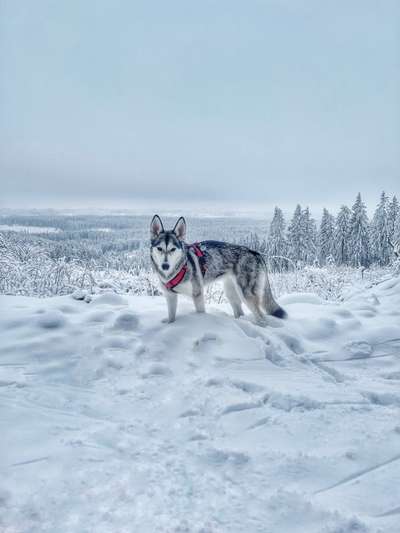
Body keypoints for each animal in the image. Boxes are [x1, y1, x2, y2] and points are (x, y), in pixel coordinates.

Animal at [149, 215, 284, 324]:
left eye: (172, 249)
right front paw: (170, 324)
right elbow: (171, 317)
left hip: (246, 295)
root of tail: (255, 253)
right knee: (240, 313)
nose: (165, 266)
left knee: (262, 318)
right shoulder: (170, 296)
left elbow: (200, 312)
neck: (177, 270)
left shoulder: (197, 294)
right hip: (231, 293)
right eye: (160, 248)